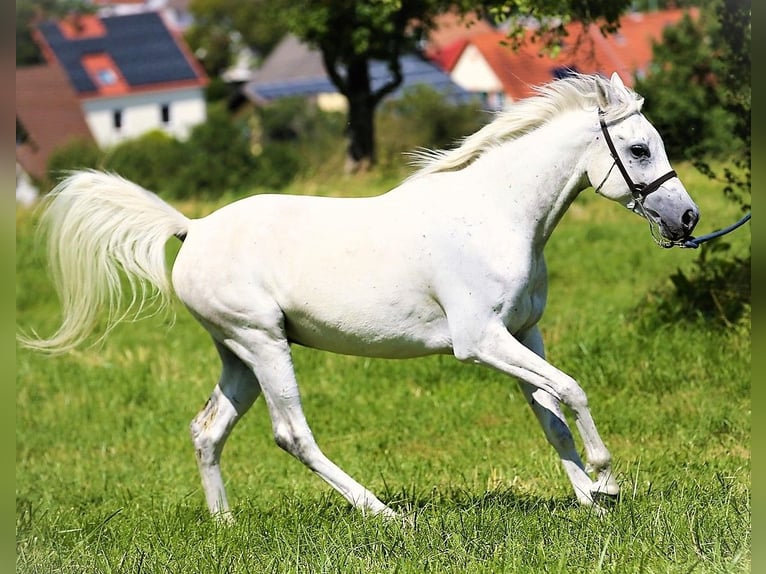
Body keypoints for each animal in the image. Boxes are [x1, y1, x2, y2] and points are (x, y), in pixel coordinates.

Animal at [18, 73, 704, 520]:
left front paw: (589, 500)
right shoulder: (479, 341)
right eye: (639, 148)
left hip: (237, 355)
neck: (495, 215)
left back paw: (225, 526)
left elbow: (550, 412)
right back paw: (385, 515)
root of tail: (193, 229)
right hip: (263, 343)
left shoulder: (522, 334)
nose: (687, 218)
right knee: (291, 434)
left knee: (207, 431)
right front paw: (607, 483)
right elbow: (571, 391)